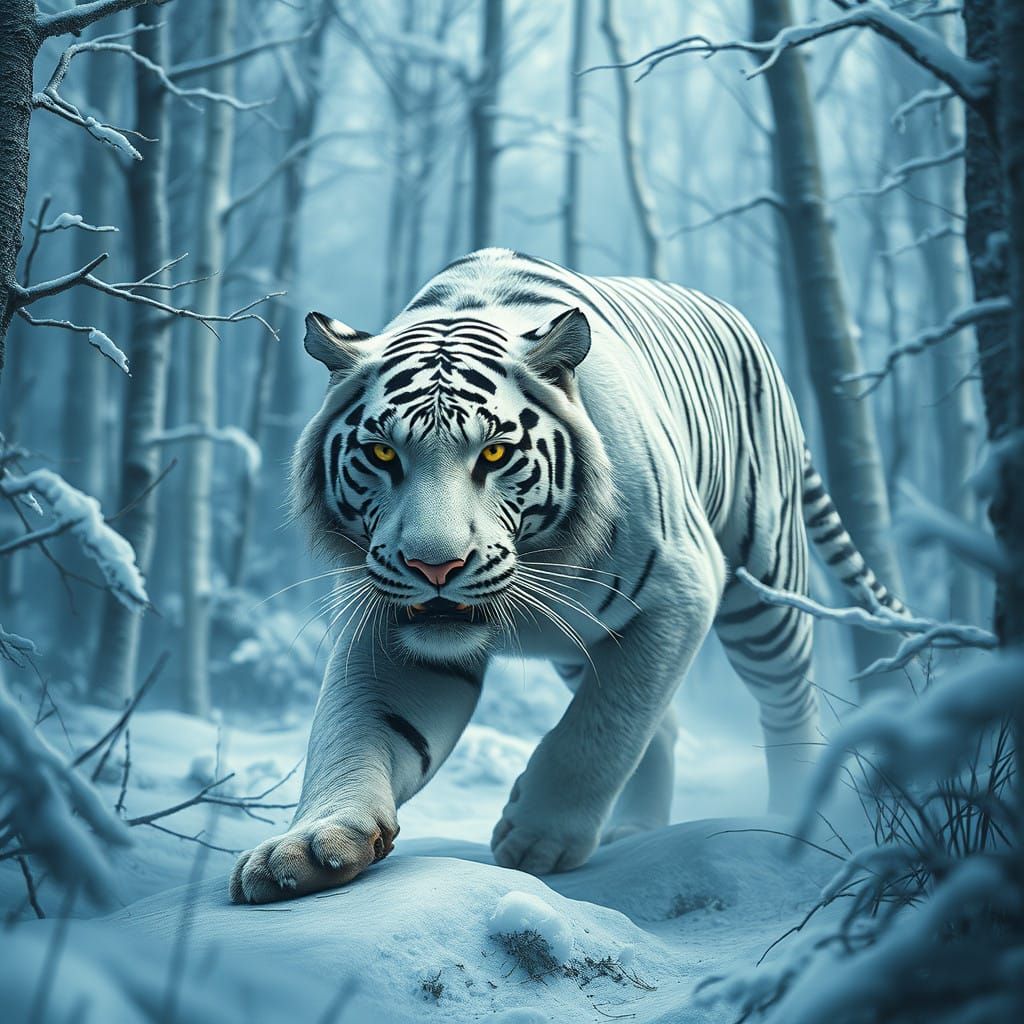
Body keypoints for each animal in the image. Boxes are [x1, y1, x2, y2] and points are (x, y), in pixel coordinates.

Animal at [229, 247, 904, 904]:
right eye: (382, 453)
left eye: (494, 453)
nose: (434, 565)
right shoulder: (388, 625)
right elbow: (355, 731)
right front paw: (307, 846)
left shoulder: (682, 590)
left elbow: (606, 724)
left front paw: (538, 836)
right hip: (582, 641)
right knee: (664, 723)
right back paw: (635, 830)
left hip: (764, 590)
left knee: (785, 702)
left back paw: (791, 817)